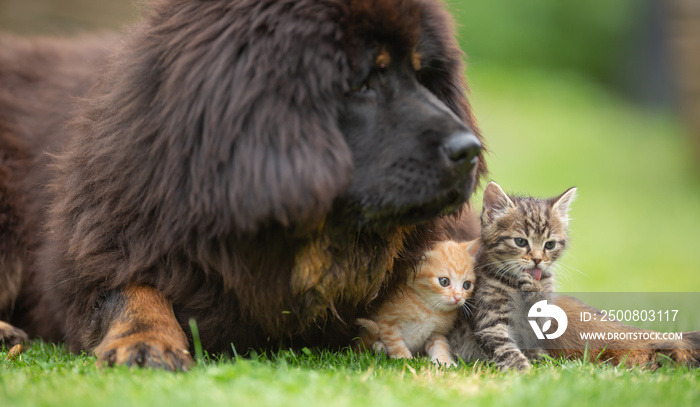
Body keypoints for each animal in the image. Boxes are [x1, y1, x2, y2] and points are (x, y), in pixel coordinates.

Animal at [452, 183, 576, 372]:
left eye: (549, 244)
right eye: (520, 242)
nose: (537, 260)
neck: (515, 284)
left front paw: (535, 289)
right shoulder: (490, 319)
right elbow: (504, 347)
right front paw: (521, 368)